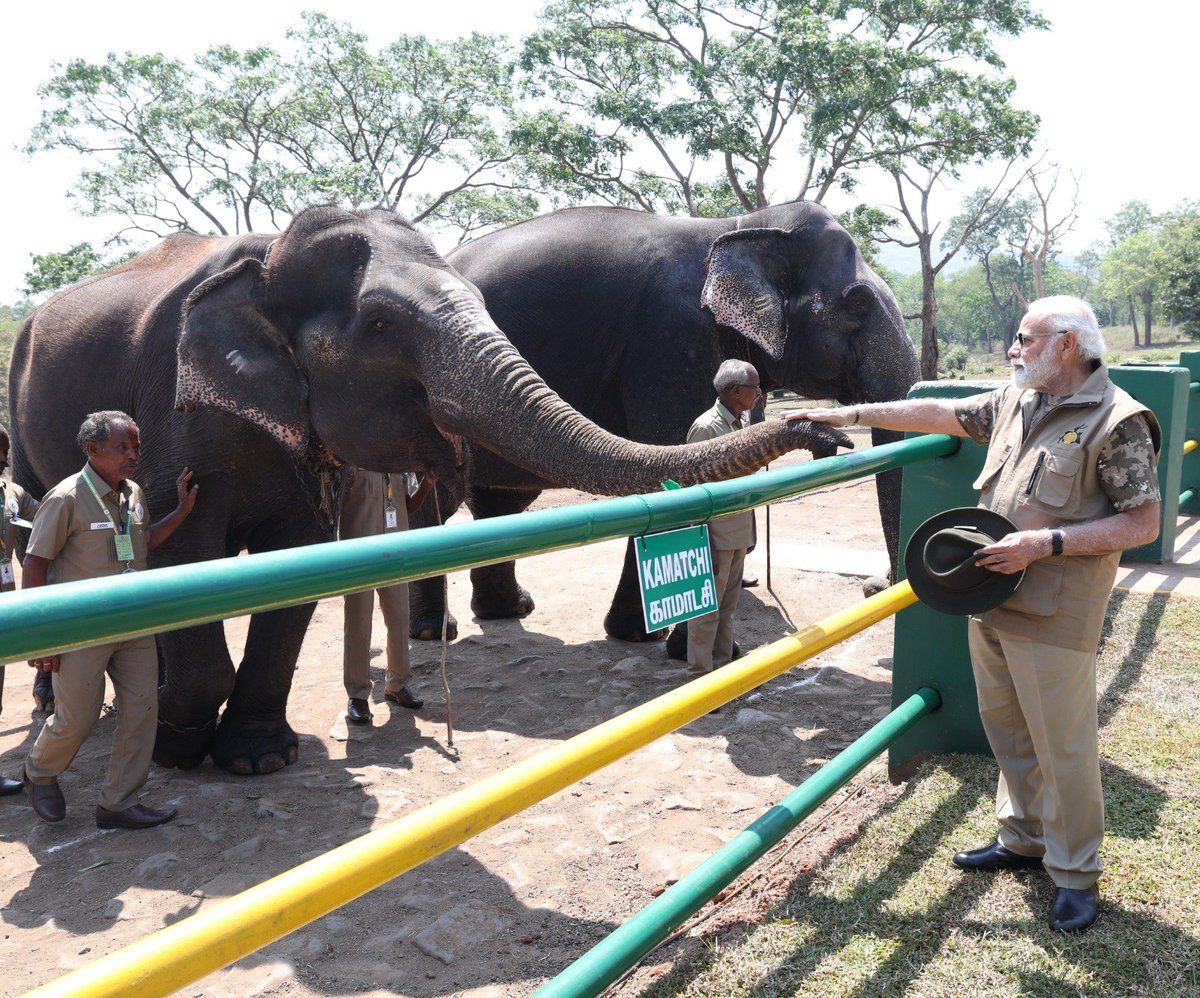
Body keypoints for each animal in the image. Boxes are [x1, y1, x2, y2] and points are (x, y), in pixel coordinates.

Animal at [8, 205, 849, 776]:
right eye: (381, 325)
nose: (825, 431)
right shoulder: (173, 414)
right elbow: (183, 549)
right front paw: (181, 746)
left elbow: (297, 568)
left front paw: (256, 758)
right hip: (23, 427)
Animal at [405, 200, 920, 643]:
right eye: (857, 304)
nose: (874, 586)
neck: (738, 225)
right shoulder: (670, 340)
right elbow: (670, 462)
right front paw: (638, 635)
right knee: (437, 502)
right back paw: (434, 632)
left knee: (502, 499)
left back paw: (508, 610)